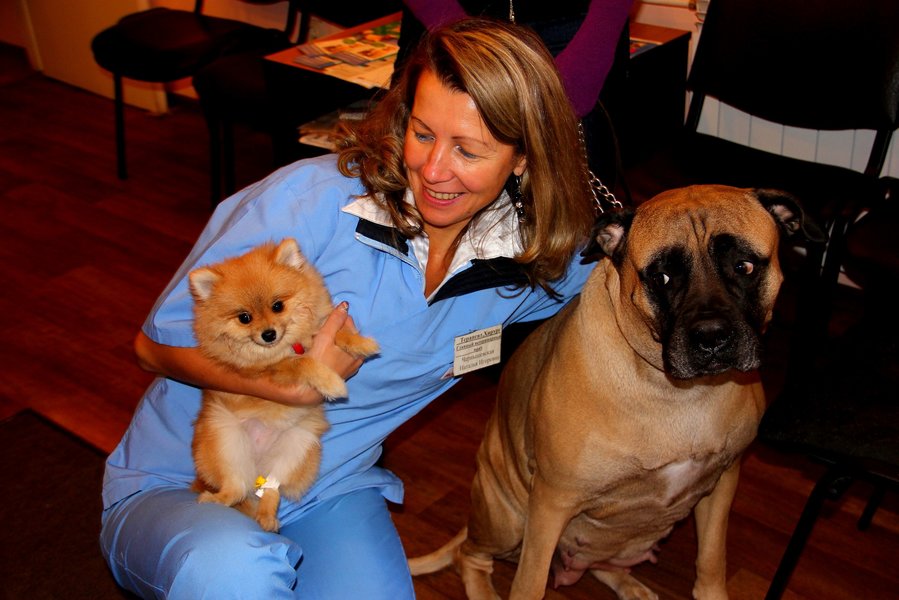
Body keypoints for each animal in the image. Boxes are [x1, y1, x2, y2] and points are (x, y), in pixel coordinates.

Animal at [188, 237, 378, 532]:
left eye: (278, 306)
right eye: (244, 318)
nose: (269, 334)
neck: (287, 345)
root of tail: (257, 465)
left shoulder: (320, 326)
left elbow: (339, 331)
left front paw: (362, 344)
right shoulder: (268, 372)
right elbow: (303, 363)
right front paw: (332, 383)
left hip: (297, 445)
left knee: (271, 488)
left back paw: (267, 518)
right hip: (225, 440)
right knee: (235, 488)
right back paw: (214, 500)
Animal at [409, 186, 824, 599]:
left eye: (744, 266)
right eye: (662, 277)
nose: (711, 338)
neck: (678, 392)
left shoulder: (723, 482)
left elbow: (710, 562)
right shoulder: (551, 504)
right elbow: (529, 584)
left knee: (598, 563)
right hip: (507, 518)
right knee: (470, 556)